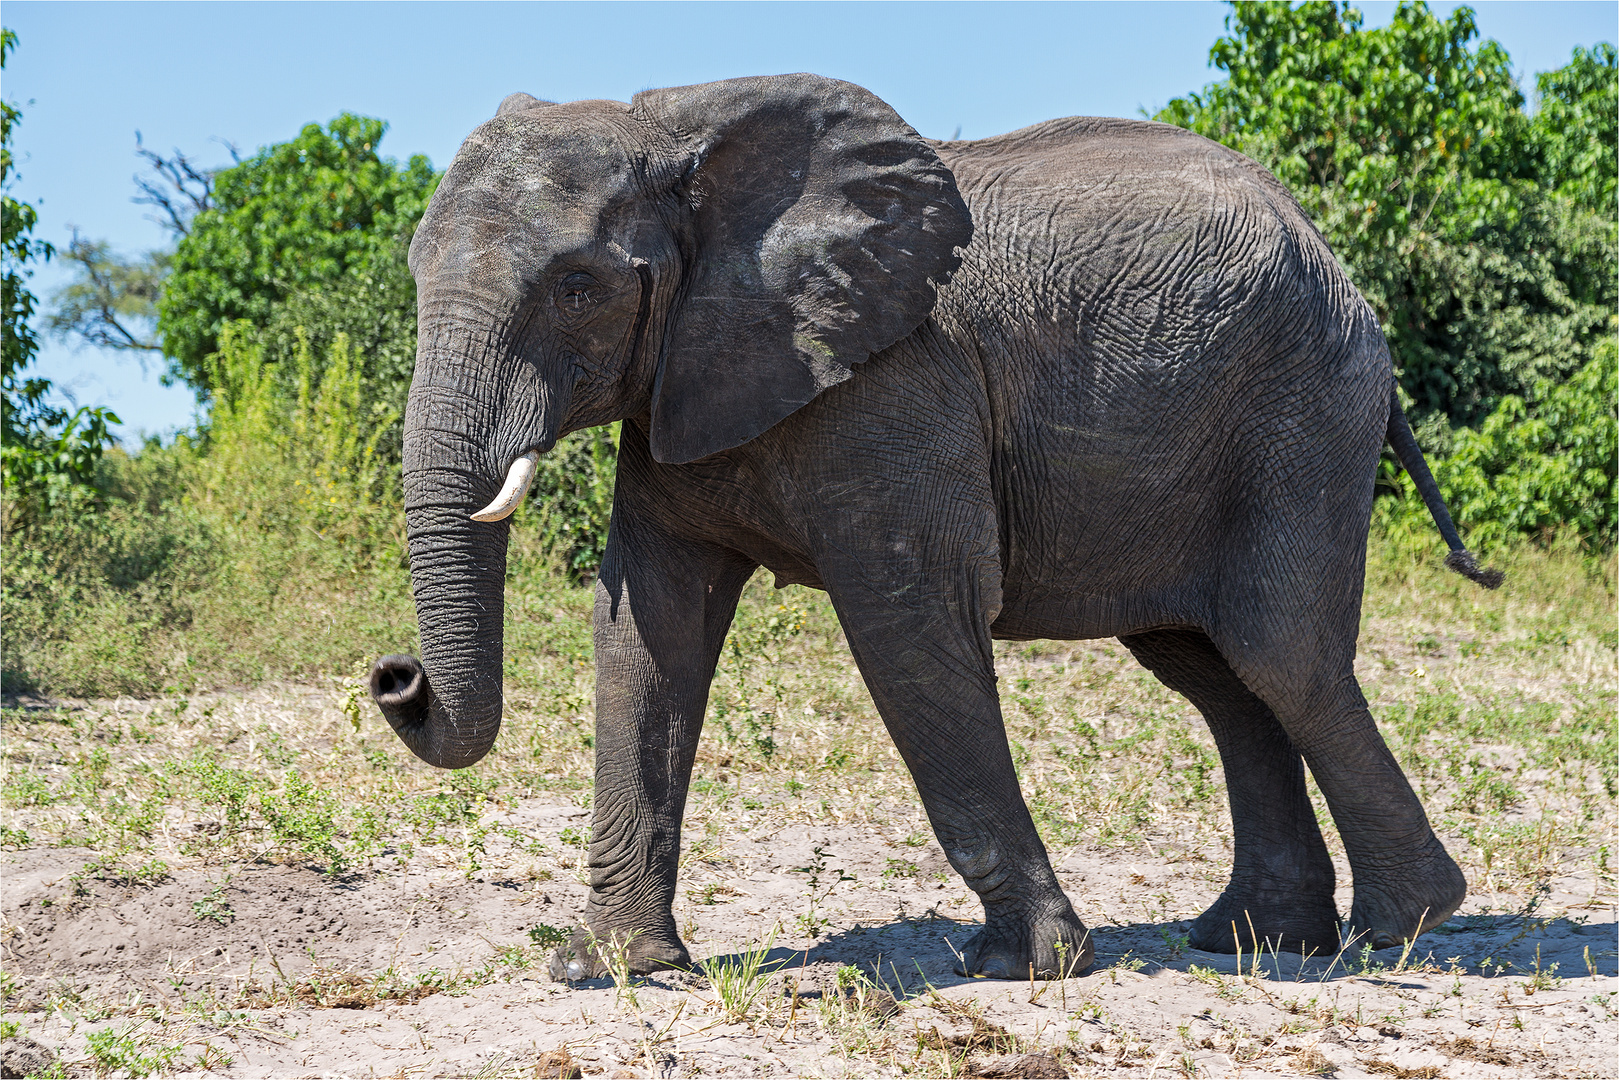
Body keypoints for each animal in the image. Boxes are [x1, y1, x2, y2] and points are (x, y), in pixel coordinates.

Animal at [370, 71, 1502, 984]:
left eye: (577, 288)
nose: (395, 678)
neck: (681, 137)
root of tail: (1334, 261)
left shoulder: (898, 386)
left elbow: (906, 623)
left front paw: (1023, 966)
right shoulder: (684, 383)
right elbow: (648, 633)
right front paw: (610, 969)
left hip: (1301, 416)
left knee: (1281, 655)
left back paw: (1398, 929)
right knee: (1214, 674)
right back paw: (1255, 940)